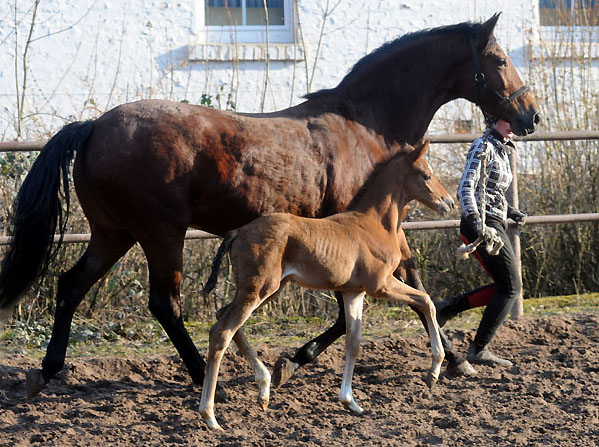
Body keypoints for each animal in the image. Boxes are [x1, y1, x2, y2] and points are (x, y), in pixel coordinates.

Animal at [200, 141, 454, 430]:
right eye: (426, 175)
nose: (449, 203)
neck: (373, 224)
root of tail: (238, 232)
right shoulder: (381, 285)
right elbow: (426, 301)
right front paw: (433, 372)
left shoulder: (354, 292)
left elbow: (354, 341)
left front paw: (350, 402)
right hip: (260, 288)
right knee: (222, 331)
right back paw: (210, 416)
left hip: (266, 289)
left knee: (224, 317)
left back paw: (264, 390)